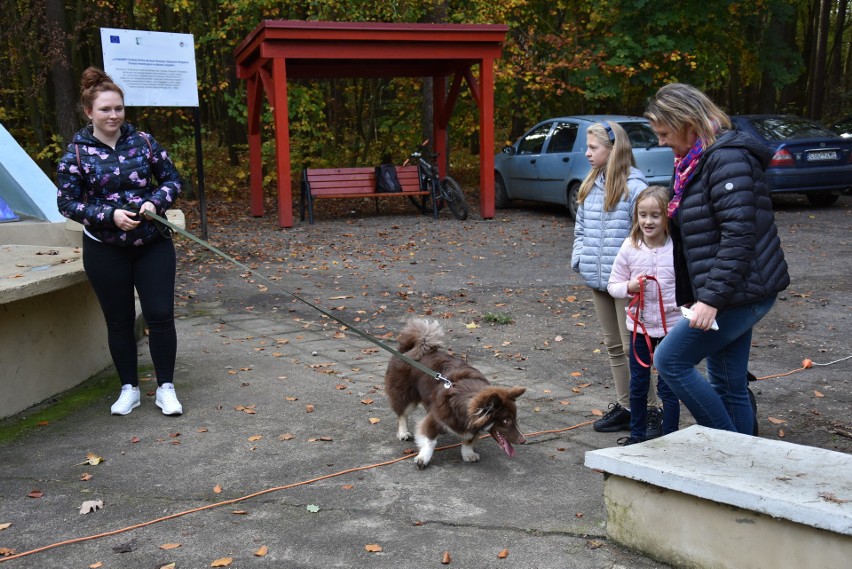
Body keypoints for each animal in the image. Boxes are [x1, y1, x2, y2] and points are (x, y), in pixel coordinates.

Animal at [382, 318, 524, 468]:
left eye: (514, 418)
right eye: (506, 420)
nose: (523, 440)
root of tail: (408, 349)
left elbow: (468, 440)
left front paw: (468, 454)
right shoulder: (436, 417)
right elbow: (430, 441)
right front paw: (423, 457)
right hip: (405, 395)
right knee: (402, 414)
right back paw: (403, 433)